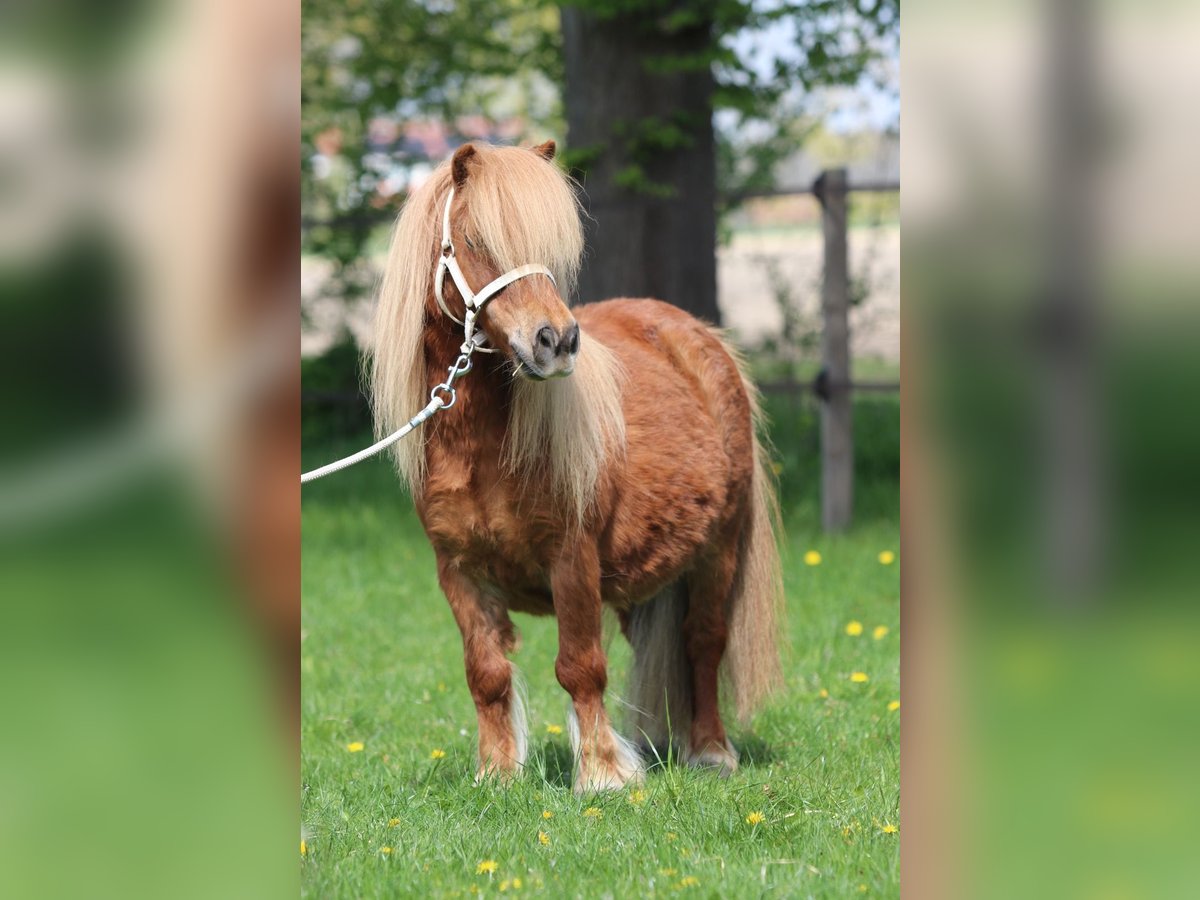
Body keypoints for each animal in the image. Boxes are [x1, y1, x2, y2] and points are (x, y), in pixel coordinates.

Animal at [369, 140, 783, 793]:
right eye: (476, 239)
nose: (557, 341)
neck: (482, 450)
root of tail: (697, 336)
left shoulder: (572, 560)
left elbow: (580, 667)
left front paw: (603, 776)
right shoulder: (458, 572)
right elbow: (486, 673)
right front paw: (498, 775)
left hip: (718, 549)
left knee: (703, 641)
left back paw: (711, 751)